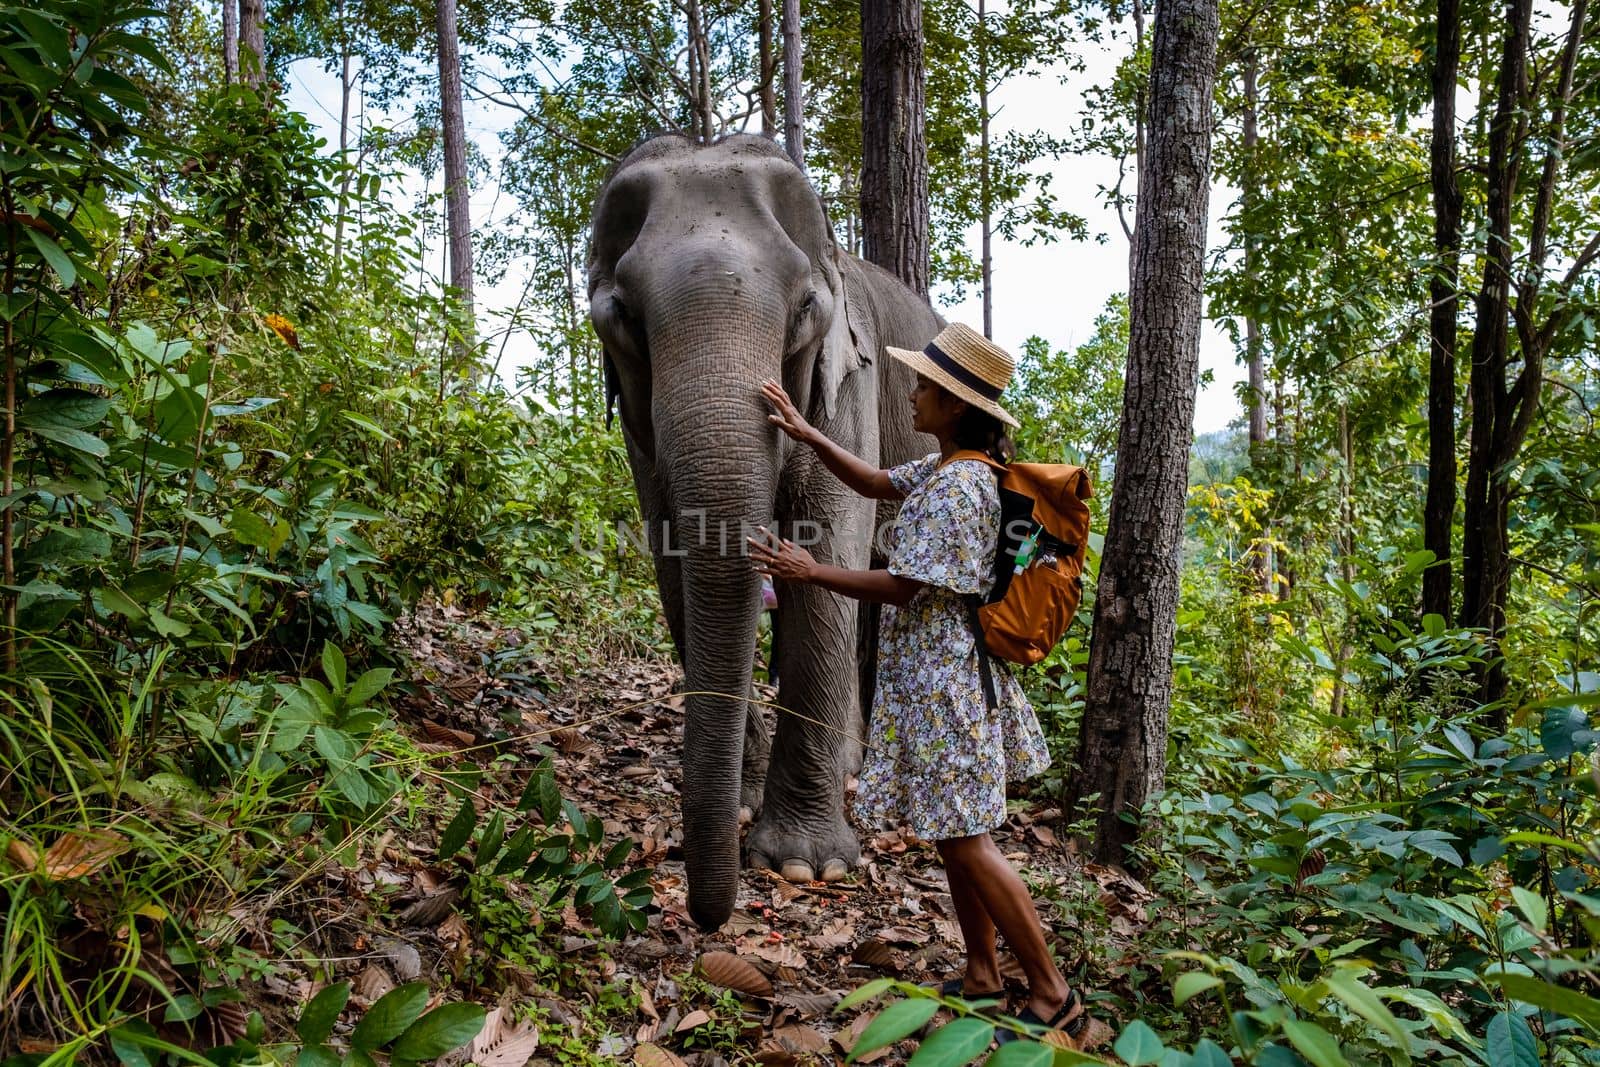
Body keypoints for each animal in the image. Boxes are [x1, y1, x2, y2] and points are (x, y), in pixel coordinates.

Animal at [585, 133, 934, 934]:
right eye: (621, 315)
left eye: (806, 307)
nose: (708, 917)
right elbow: (675, 559)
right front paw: (743, 807)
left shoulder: (849, 384)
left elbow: (830, 549)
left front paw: (806, 865)